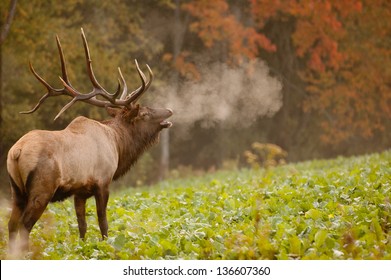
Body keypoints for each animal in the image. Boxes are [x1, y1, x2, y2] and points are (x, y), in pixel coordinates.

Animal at [6, 29, 172, 254]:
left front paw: (83, 250)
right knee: (25, 226)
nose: (169, 110)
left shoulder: (80, 191)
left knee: (11, 225)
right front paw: (107, 248)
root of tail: (17, 152)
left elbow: (82, 225)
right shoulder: (103, 181)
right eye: (144, 113)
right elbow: (103, 222)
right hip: (42, 188)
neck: (118, 145)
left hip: (16, 190)